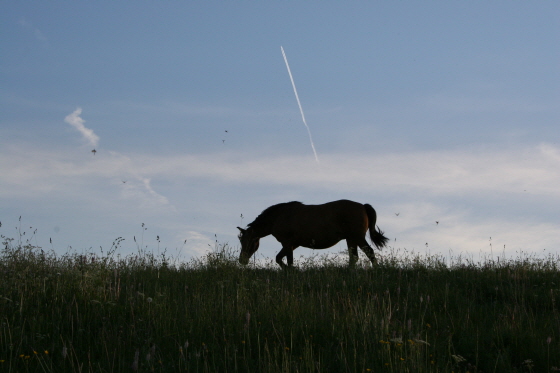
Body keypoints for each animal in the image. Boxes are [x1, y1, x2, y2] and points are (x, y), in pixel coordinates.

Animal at [237, 199, 390, 268]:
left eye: (248, 241)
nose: (242, 260)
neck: (278, 217)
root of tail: (363, 206)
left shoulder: (287, 243)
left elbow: (287, 261)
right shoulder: (293, 244)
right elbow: (280, 258)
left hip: (357, 237)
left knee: (369, 252)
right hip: (351, 239)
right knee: (354, 258)